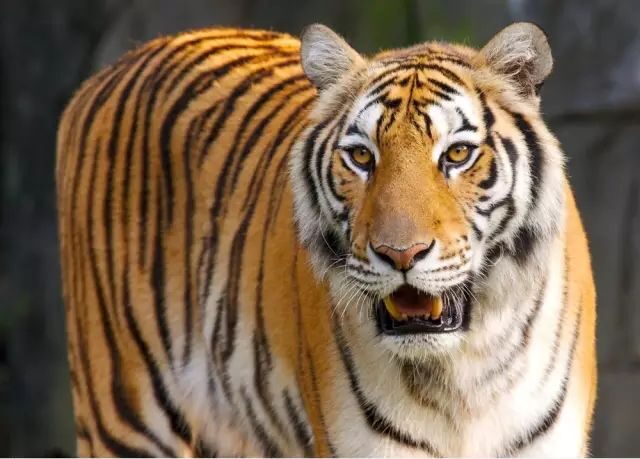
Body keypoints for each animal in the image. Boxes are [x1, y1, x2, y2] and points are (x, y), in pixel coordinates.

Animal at [56, 21, 597, 457]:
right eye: (361, 157)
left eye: (458, 154)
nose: (401, 254)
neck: (462, 372)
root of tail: (106, 73)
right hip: (124, 414)